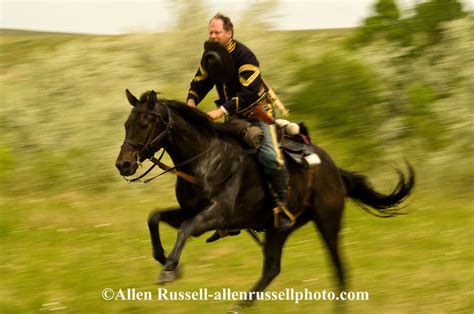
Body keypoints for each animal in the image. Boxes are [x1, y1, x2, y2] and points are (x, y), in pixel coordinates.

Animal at [115, 89, 414, 310]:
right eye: (126, 124)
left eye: (144, 123)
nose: (124, 164)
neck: (205, 158)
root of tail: (334, 170)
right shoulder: (188, 211)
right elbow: (154, 217)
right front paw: (166, 261)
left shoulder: (216, 215)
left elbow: (185, 229)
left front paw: (168, 270)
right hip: (278, 229)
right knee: (272, 269)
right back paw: (238, 306)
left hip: (327, 223)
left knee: (339, 269)